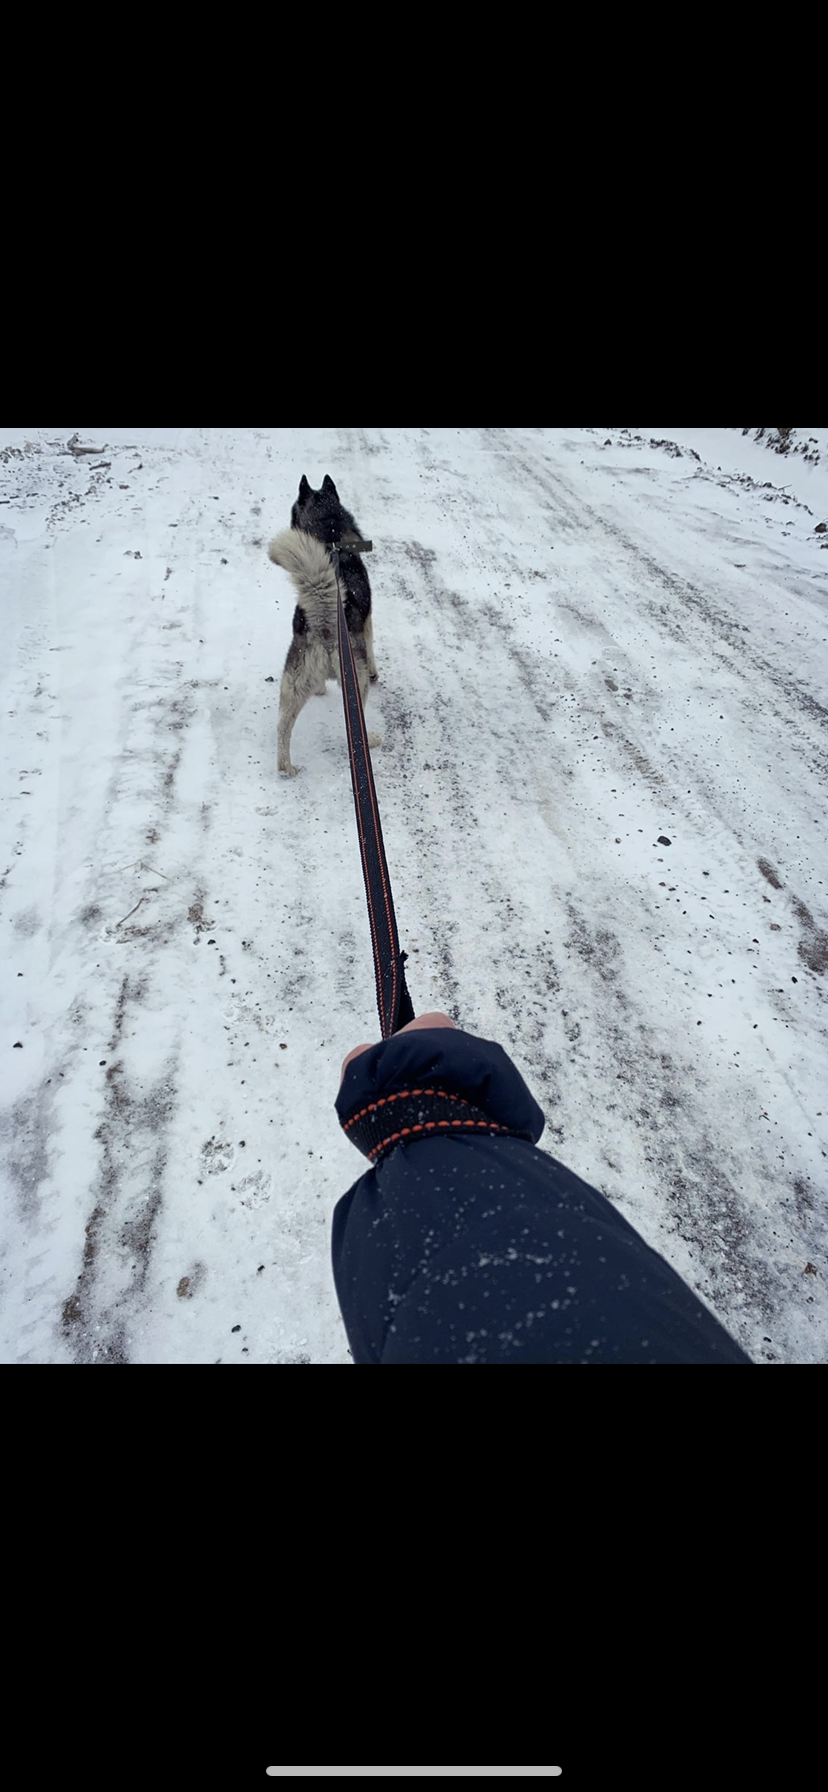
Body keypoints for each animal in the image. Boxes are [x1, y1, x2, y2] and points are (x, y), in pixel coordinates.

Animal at [268, 476, 378, 777]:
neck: (330, 534)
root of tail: (327, 622)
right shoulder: (368, 623)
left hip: (293, 682)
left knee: (282, 727)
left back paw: (286, 768)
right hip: (356, 681)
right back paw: (371, 740)